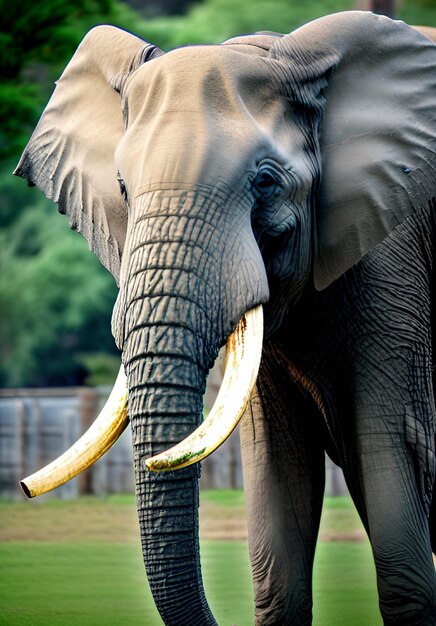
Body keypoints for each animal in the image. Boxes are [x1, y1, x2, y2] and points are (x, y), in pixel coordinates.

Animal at [16, 8, 436, 624]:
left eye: (265, 182)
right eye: (121, 188)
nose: (21, 490)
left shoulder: (396, 262)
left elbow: (391, 449)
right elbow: (278, 500)